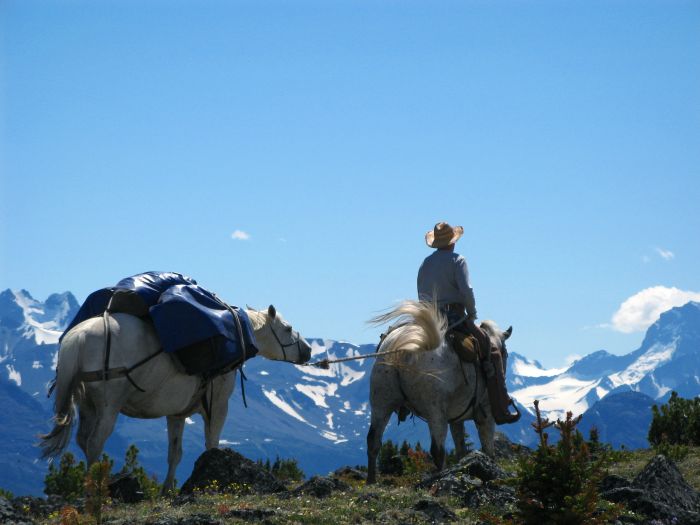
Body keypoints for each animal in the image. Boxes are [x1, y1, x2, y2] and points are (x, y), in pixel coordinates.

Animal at [39, 302, 310, 492]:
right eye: (287, 328)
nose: (307, 351)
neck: (236, 335)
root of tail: (79, 336)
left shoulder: (176, 414)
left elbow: (175, 452)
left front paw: (167, 489)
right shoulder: (218, 406)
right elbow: (212, 445)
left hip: (87, 405)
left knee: (84, 441)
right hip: (108, 406)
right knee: (96, 442)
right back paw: (95, 490)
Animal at [366, 298, 508, 484]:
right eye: (504, 353)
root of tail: (404, 349)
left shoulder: (456, 419)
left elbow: (461, 447)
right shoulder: (486, 413)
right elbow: (487, 445)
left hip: (381, 402)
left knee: (373, 441)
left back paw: (371, 480)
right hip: (435, 411)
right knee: (438, 449)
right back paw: (440, 476)